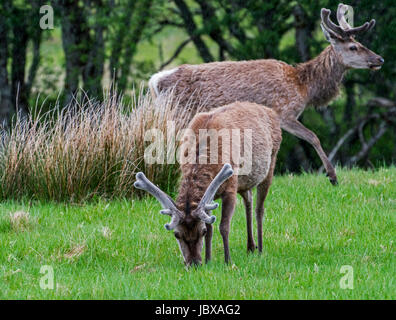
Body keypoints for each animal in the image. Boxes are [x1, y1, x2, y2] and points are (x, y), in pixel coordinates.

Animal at [135, 102, 282, 264]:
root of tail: (271, 112)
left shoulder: (230, 185)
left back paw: (260, 249)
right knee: (248, 199)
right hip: (244, 182)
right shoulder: (210, 195)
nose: (194, 263)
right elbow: (212, 226)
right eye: (177, 234)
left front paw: (227, 260)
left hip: (271, 163)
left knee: (259, 209)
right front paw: (208, 260)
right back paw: (250, 246)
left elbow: (224, 226)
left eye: (201, 232)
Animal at [148, 4, 384, 185]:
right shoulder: (284, 112)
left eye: (361, 43)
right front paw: (332, 176)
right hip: (178, 113)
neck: (304, 88)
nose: (379, 59)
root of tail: (156, 81)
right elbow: (313, 137)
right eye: (353, 47)